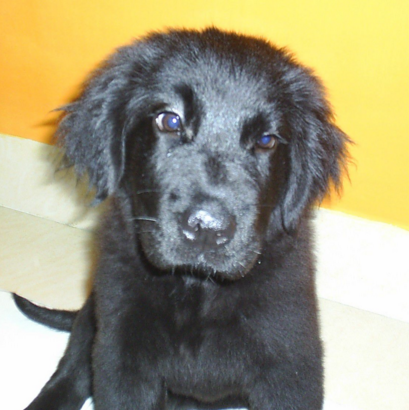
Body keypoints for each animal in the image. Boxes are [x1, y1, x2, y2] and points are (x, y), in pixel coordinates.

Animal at [15, 27, 349, 410]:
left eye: (266, 140)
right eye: (170, 121)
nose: (207, 229)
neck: (197, 287)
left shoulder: (290, 362)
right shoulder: (120, 350)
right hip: (93, 317)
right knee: (71, 372)